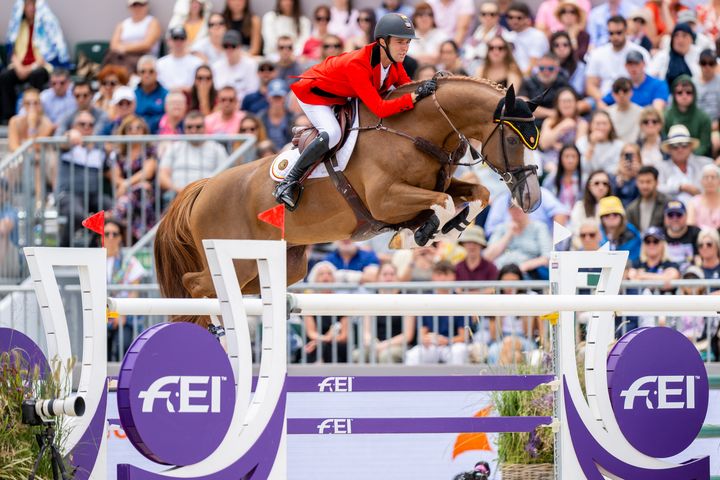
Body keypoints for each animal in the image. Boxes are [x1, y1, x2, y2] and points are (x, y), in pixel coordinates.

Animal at [155, 76, 542, 326]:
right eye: (512, 139)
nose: (532, 199)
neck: (415, 132)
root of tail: (203, 188)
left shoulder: (434, 187)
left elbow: (476, 194)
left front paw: (447, 228)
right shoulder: (386, 200)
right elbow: (443, 202)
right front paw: (418, 233)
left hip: (282, 265)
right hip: (239, 259)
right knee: (194, 283)